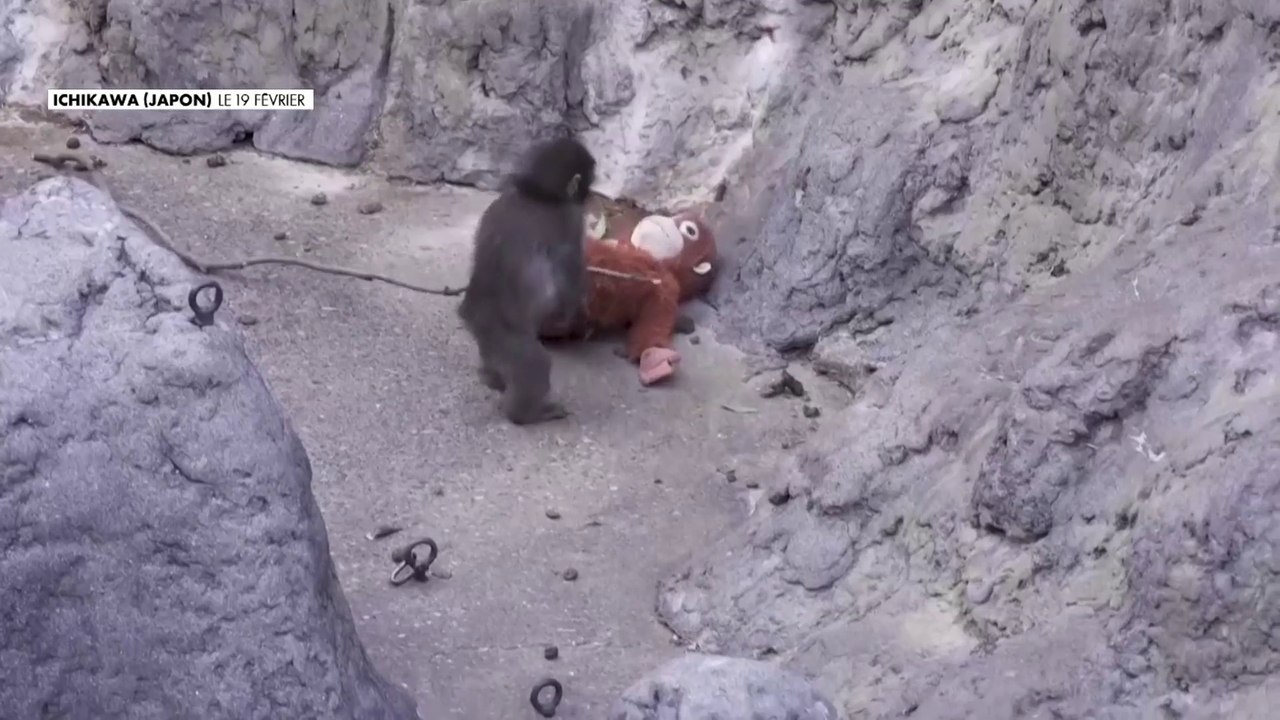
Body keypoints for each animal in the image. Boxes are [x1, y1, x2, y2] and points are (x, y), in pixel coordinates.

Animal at [455, 136, 597, 426]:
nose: (589, 196)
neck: (535, 192)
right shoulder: (569, 218)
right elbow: (570, 273)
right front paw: (576, 314)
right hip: (511, 341)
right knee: (535, 363)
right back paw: (526, 414)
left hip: (487, 339)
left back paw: (492, 378)